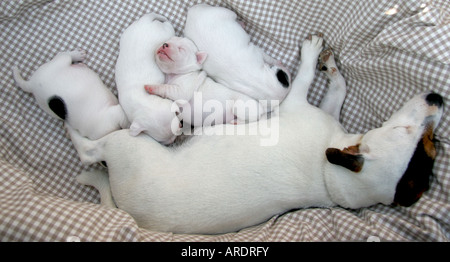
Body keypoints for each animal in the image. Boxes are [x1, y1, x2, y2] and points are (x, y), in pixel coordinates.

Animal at [69, 34, 442, 233]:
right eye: (425, 142)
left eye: (403, 129)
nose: (437, 99)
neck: (332, 172)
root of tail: (130, 213)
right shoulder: (328, 115)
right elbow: (338, 89)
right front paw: (332, 66)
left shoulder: (295, 101)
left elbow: (304, 76)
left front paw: (311, 53)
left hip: (126, 145)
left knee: (89, 153)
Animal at [114, 12, 181, 145]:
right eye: (162, 141)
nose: (173, 140)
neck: (142, 100)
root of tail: (145, 20)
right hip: (129, 32)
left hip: (166, 31)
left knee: (167, 24)